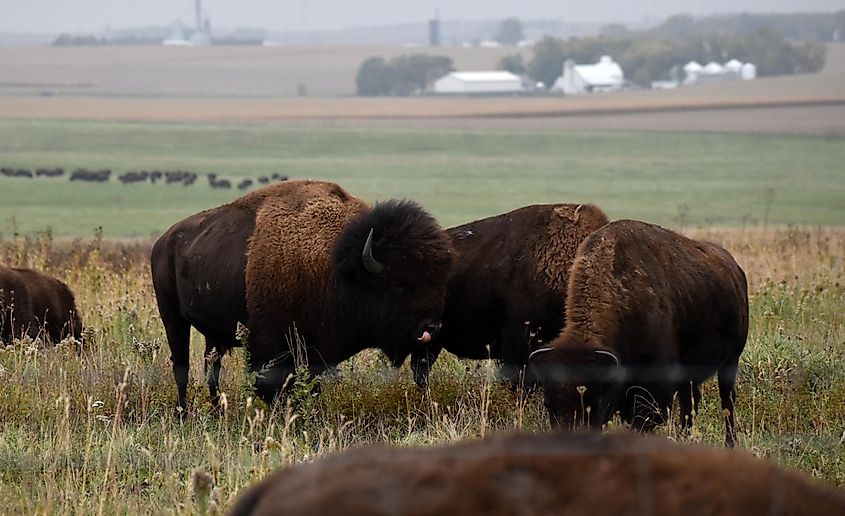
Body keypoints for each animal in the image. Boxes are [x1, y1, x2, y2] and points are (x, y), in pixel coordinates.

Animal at [152, 179, 454, 414]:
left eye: (439, 281)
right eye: (400, 285)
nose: (432, 327)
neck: (337, 265)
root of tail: (164, 241)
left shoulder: (315, 354)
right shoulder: (272, 347)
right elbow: (273, 385)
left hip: (213, 333)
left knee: (211, 367)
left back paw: (217, 411)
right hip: (172, 317)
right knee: (182, 367)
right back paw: (184, 414)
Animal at [528, 220, 744, 446]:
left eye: (596, 403)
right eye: (549, 404)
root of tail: (734, 268)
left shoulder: (653, 392)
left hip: (731, 361)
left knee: (727, 401)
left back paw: (730, 443)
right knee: (690, 403)